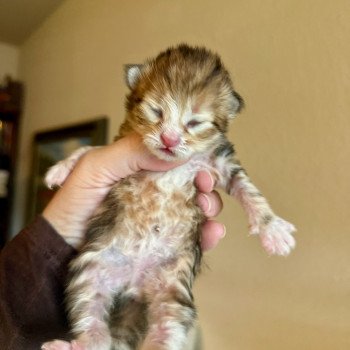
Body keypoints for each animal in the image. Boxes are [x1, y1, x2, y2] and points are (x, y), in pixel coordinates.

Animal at [42, 44, 296, 350]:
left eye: (194, 122)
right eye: (156, 111)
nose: (169, 140)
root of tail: (134, 284)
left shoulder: (220, 162)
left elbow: (249, 190)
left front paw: (274, 231)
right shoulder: (117, 146)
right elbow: (90, 151)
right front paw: (60, 169)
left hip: (173, 293)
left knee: (163, 330)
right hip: (89, 273)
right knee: (95, 330)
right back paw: (66, 344)